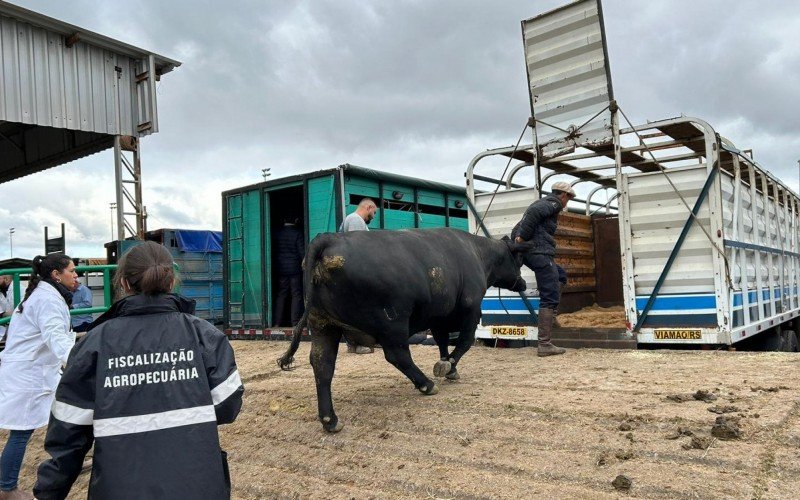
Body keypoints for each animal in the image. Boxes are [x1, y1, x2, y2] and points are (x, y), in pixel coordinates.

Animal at [278, 229, 528, 432]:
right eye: (518, 259)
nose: (524, 283)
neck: (476, 252)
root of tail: (328, 238)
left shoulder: (438, 316)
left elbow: (442, 341)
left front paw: (448, 365)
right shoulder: (471, 310)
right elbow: (464, 343)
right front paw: (448, 366)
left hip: (323, 325)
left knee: (323, 365)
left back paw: (330, 420)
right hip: (392, 322)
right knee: (398, 355)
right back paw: (426, 384)